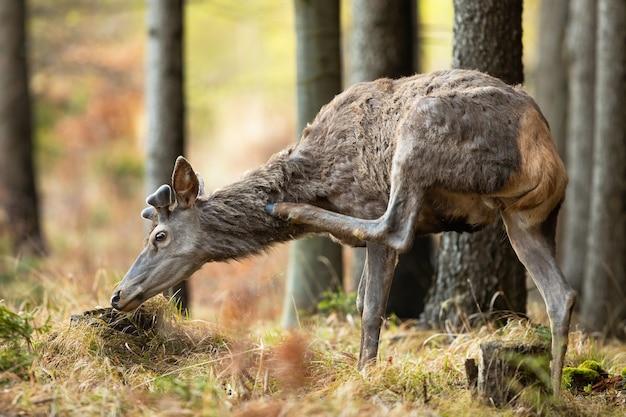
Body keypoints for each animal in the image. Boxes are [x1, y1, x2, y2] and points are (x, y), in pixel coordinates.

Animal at [111, 68, 572, 394]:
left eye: (159, 236)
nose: (118, 294)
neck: (317, 175)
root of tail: (544, 148)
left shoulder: (367, 202)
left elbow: (371, 306)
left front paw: (365, 376)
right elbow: (360, 300)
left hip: (420, 130)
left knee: (393, 227)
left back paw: (288, 207)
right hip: (527, 217)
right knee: (560, 295)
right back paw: (553, 388)